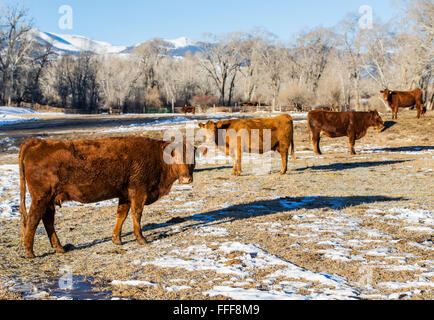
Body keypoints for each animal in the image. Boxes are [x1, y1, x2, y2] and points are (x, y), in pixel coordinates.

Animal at [19, 136, 195, 258]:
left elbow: (122, 214)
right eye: (176, 157)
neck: (157, 157)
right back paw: (30, 252)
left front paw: (116, 239)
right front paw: (141, 238)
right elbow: (136, 214)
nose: (187, 179)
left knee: (47, 220)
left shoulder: (125, 194)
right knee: (33, 219)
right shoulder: (139, 192)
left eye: (192, 159)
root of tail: (37, 142)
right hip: (41, 198)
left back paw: (59, 248)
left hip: (50, 200)